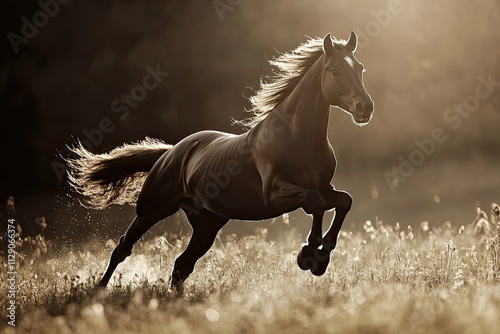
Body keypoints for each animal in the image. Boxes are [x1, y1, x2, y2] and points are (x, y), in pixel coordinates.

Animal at [65, 30, 372, 288]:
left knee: (182, 265)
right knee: (123, 248)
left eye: (360, 68)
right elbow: (315, 203)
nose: (365, 108)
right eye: (335, 71)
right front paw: (310, 256)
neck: (298, 139)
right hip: (152, 209)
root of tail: (170, 153)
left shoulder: (324, 187)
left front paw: (320, 257)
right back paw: (99, 291)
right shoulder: (275, 194)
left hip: (207, 223)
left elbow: (343, 201)